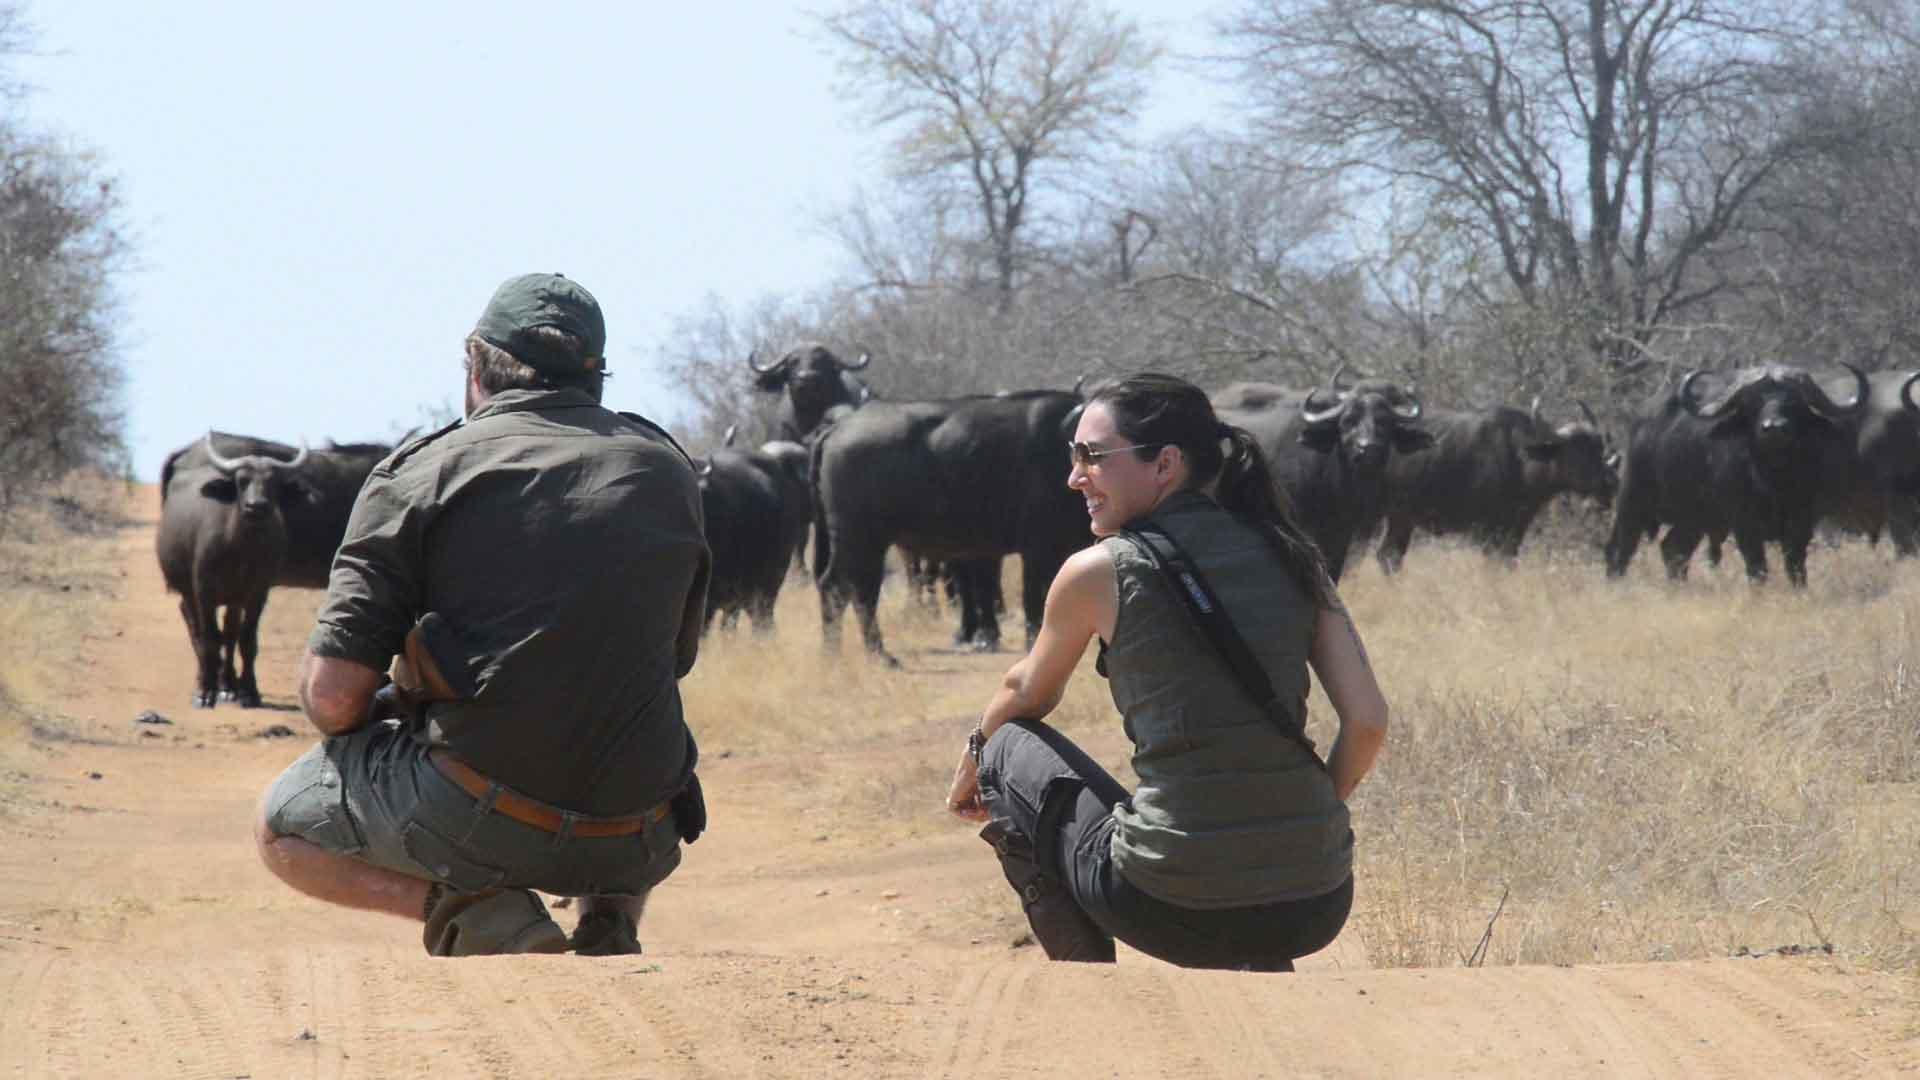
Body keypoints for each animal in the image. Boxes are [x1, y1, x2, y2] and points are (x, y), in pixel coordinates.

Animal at [806, 390, 1090, 661]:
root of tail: (838, 429)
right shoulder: (1037, 550)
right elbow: (1036, 602)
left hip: (866, 543)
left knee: (854, 588)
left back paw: (857, 653)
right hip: (858, 538)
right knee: (843, 587)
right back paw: (854, 655)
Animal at [1382, 393, 1620, 564]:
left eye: (1599, 449)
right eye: (1577, 452)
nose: (1610, 483)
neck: (1519, 461)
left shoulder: (1514, 533)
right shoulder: (1487, 533)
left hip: (1402, 519)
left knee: (1389, 557)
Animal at [1597, 363, 1866, 584]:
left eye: (1794, 402)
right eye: (1754, 403)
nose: (1774, 428)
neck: (1773, 480)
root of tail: (1642, 419)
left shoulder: (1802, 522)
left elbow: (1796, 567)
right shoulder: (1744, 524)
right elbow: (1757, 568)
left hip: (1693, 517)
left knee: (1674, 549)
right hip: (1634, 498)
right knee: (1619, 548)